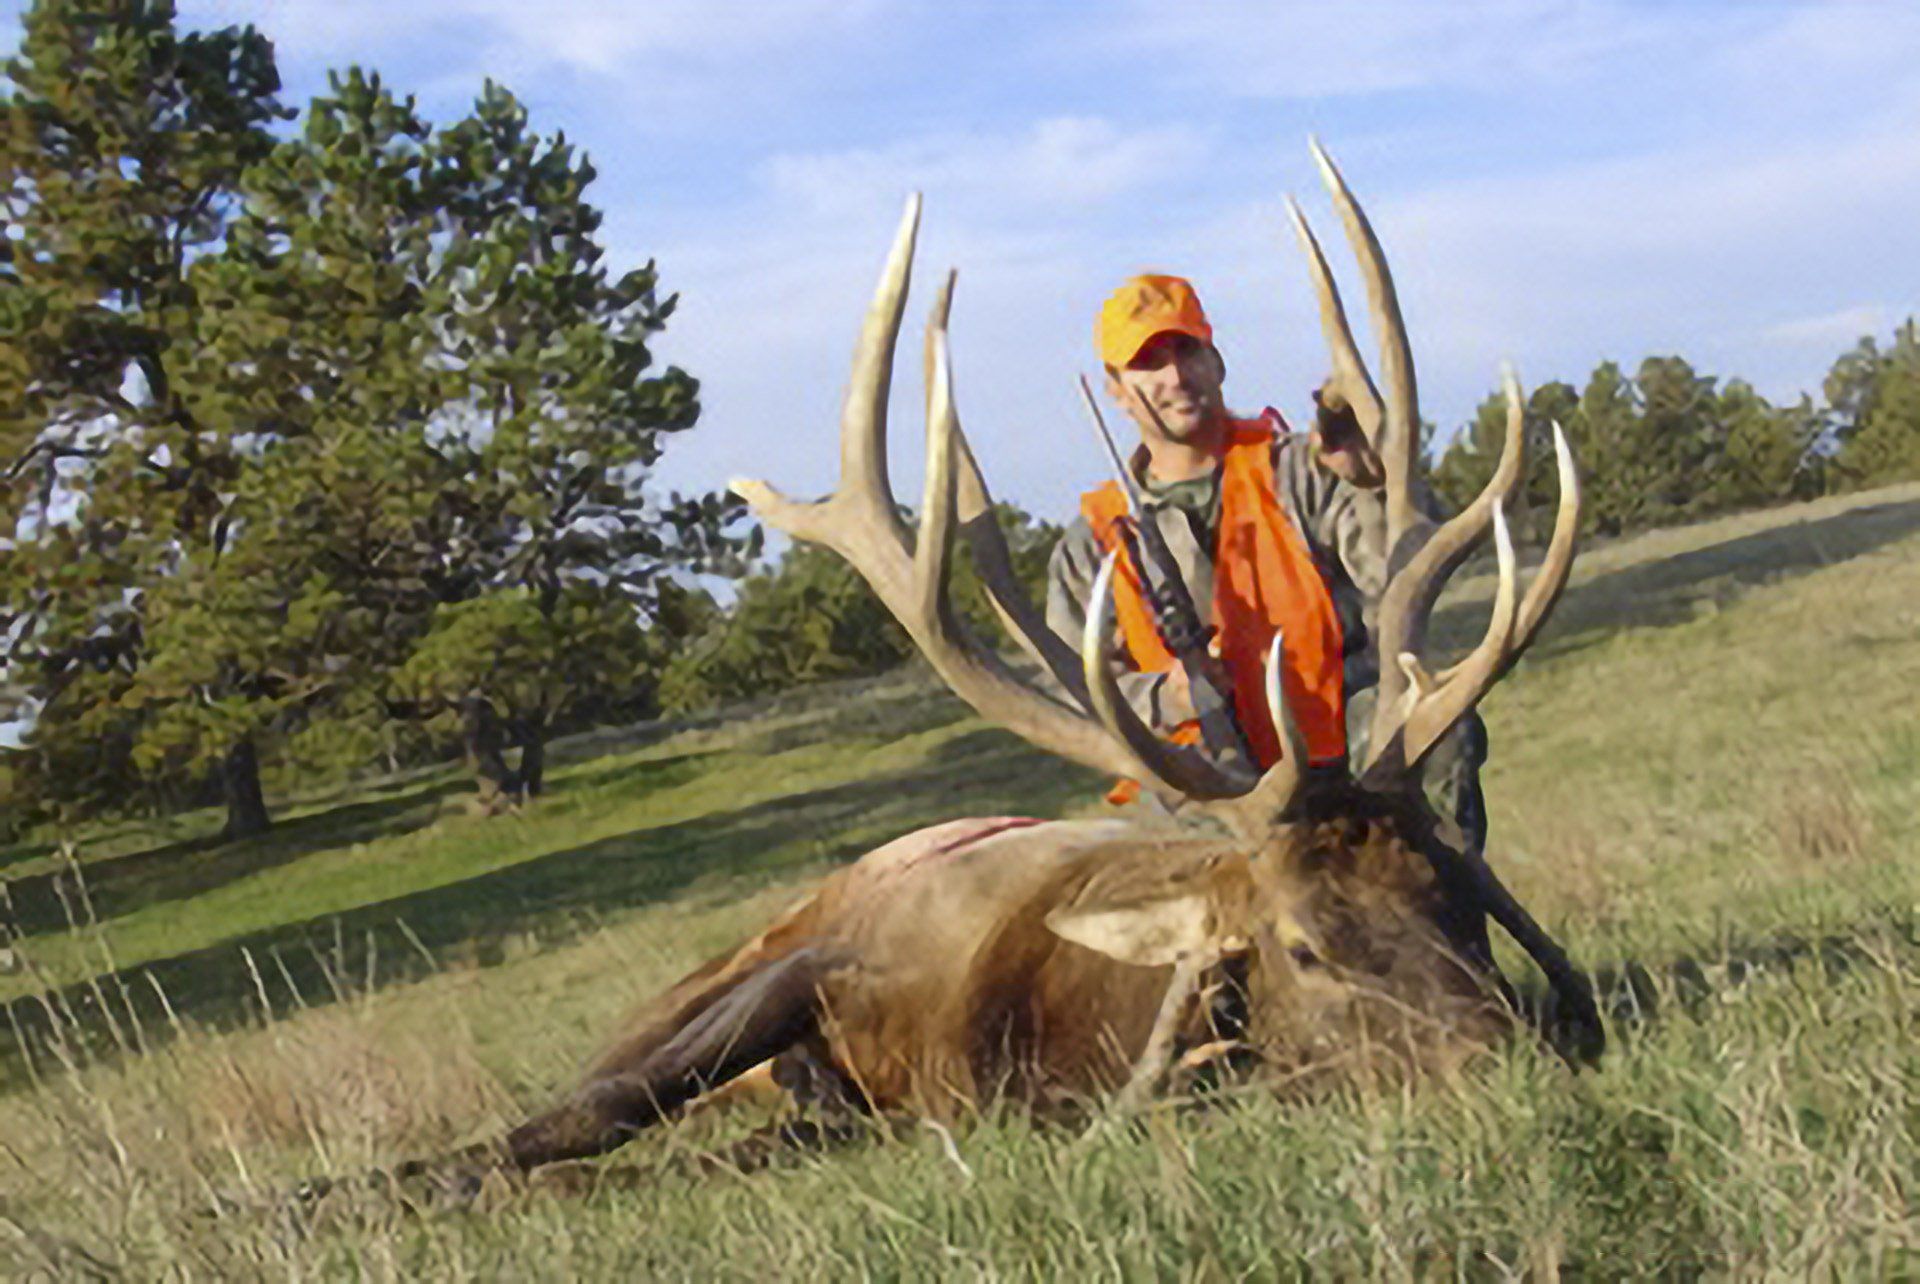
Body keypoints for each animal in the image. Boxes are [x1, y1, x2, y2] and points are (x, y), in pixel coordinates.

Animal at [334, 143, 1598, 1201]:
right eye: (1304, 944)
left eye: (1459, 903)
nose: (1515, 1063)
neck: (1032, 1045)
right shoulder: (830, 961)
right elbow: (586, 1115)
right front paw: (365, 1193)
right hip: (708, 969)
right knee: (605, 1081)